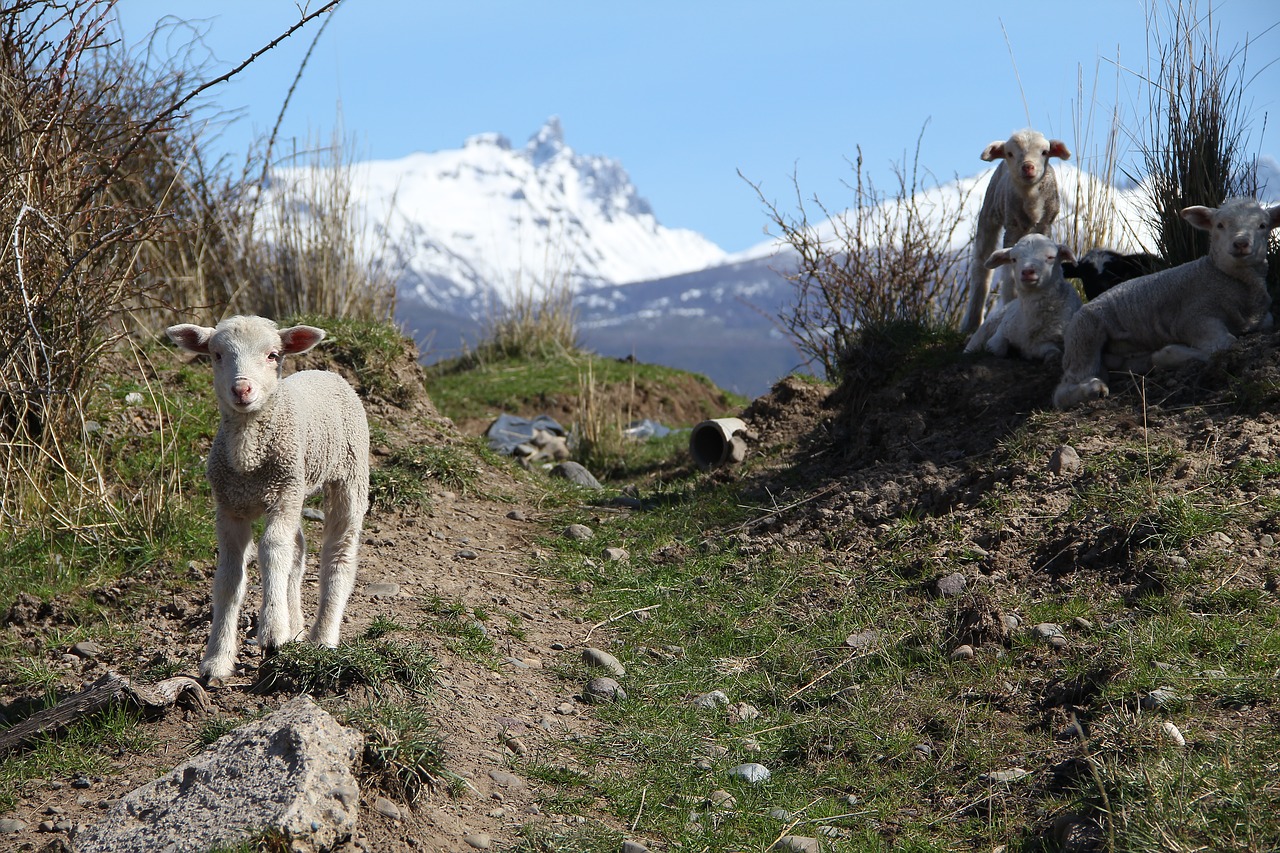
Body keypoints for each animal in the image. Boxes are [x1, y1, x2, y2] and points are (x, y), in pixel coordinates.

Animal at [162, 315, 368, 681]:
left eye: (273, 355)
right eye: (216, 355)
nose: (242, 389)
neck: (249, 457)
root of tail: (327, 372)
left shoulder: (282, 493)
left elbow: (271, 551)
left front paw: (272, 633)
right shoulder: (230, 508)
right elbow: (229, 577)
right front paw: (216, 659)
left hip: (348, 475)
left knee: (338, 552)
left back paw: (323, 637)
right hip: (296, 490)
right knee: (297, 550)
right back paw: (295, 626)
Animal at [962, 126, 1070, 333]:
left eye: (1044, 152)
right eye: (1010, 153)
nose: (1028, 167)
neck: (1031, 201)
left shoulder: (1045, 226)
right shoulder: (1011, 229)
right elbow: (1009, 277)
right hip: (989, 212)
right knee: (981, 266)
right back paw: (971, 323)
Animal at [962, 230, 1080, 361]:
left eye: (1050, 257)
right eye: (1013, 259)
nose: (1028, 271)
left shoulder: (1048, 343)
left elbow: (1052, 352)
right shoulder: (1003, 328)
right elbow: (997, 347)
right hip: (988, 326)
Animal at [1049, 199, 1280, 412]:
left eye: (1262, 225)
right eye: (1220, 225)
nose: (1241, 244)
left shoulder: (1263, 319)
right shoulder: (1196, 319)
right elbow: (1225, 345)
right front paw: (1167, 354)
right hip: (1085, 336)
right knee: (1063, 391)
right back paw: (1093, 389)